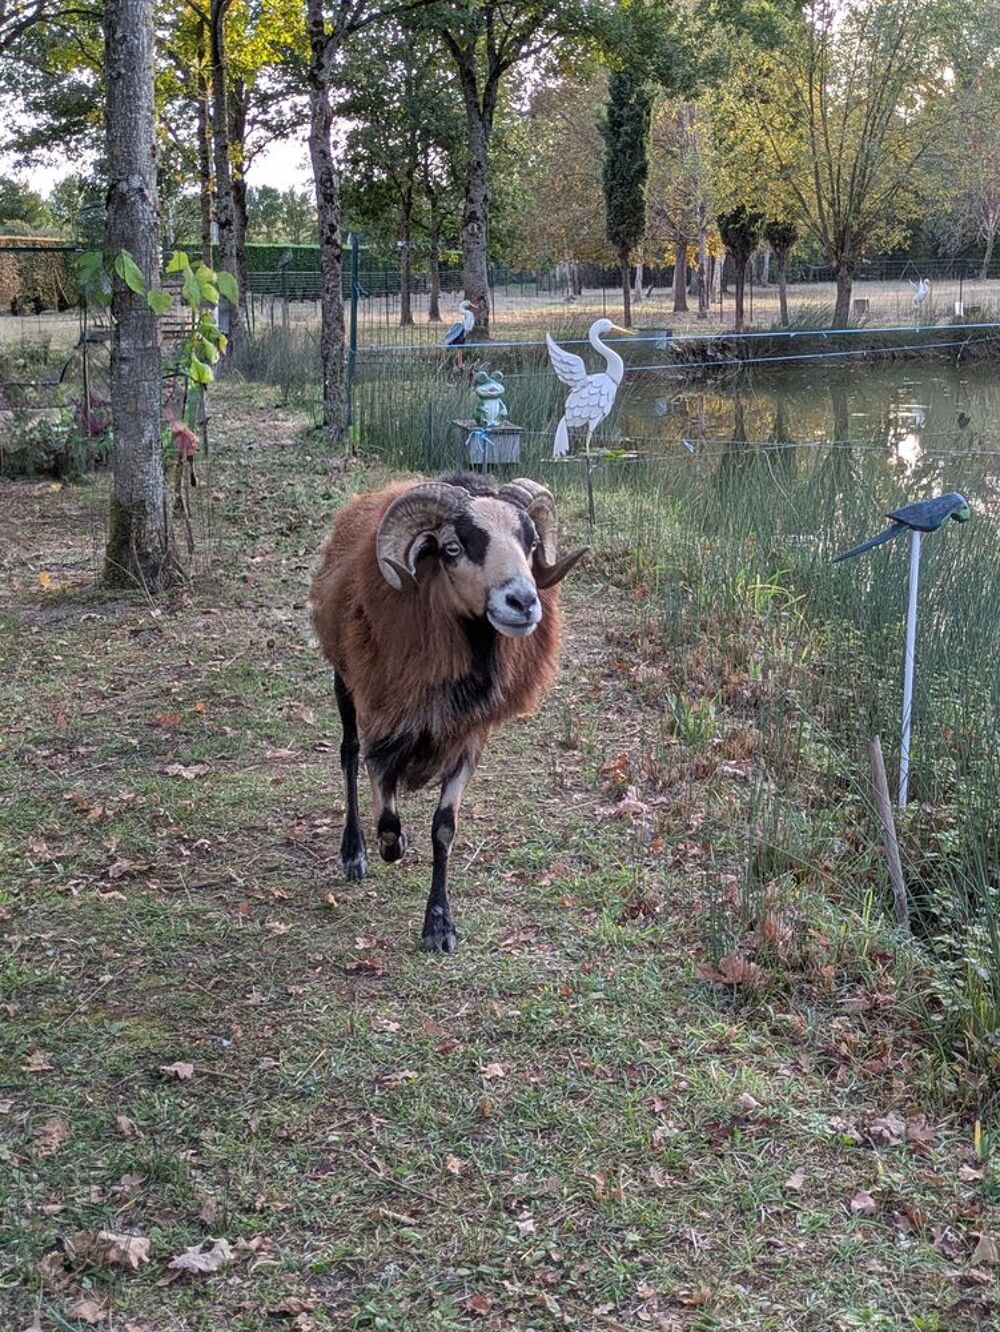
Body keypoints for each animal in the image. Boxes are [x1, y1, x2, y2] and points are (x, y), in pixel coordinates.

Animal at [310, 471, 586, 953]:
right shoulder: (383, 722)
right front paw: (390, 846)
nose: (523, 602)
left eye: (531, 542)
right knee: (347, 754)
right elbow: (386, 815)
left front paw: (439, 926)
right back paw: (354, 852)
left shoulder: (468, 739)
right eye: (453, 547)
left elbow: (444, 828)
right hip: (344, 682)